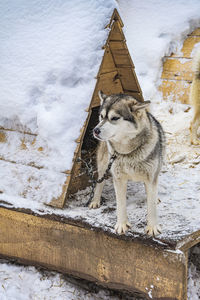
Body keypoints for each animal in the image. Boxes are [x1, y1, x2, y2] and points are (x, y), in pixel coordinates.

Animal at [90, 90, 165, 236]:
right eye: (101, 116)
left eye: (114, 118)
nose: (95, 130)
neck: (129, 153)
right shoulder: (119, 179)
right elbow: (120, 204)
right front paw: (122, 225)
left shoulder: (151, 177)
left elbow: (151, 206)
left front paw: (152, 227)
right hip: (103, 164)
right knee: (100, 182)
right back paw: (95, 200)